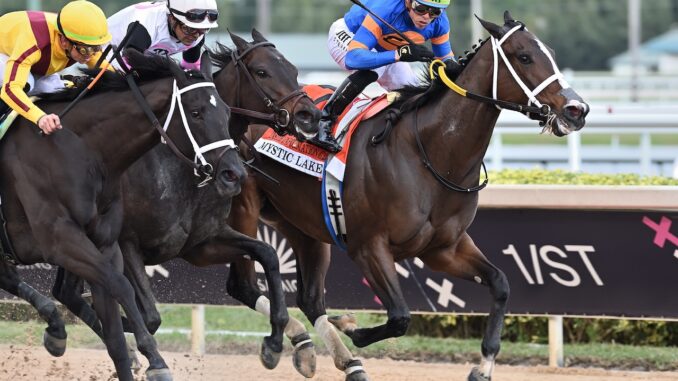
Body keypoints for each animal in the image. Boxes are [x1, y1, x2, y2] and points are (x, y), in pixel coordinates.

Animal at [0, 50, 247, 380]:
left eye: (226, 112)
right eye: (195, 112)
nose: (235, 174)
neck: (79, 150)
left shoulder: (103, 243)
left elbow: (115, 338)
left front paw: (136, 355)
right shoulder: (62, 240)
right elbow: (122, 286)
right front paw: (155, 360)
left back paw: (55, 329)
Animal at [227, 11, 588, 380]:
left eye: (551, 54)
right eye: (524, 56)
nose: (577, 109)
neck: (429, 152)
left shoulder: (443, 249)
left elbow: (501, 284)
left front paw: (483, 366)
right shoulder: (368, 246)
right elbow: (400, 316)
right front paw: (353, 327)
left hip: (300, 222)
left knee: (310, 298)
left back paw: (328, 355)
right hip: (245, 208)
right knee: (244, 285)